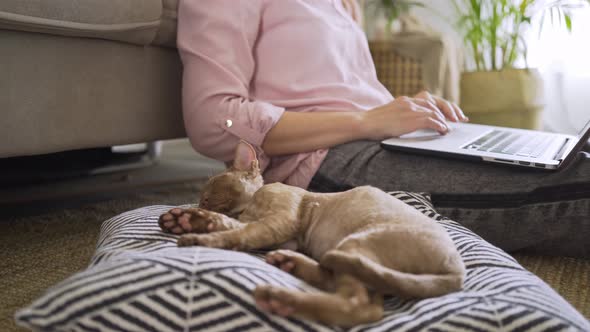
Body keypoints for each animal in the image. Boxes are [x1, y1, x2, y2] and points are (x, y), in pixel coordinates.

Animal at [160, 140, 464, 326]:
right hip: (354, 258)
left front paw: (198, 234)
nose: (199, 202)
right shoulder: (282, 233)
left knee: (360, 307)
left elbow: (241, 233)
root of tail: (457, 270)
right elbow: (234, 225)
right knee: (349, 292)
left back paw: (281, 298)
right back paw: (289, 265)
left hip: (358, 243)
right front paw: (186, 220)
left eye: (211, 186)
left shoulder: (282, 220)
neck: (250, 206)